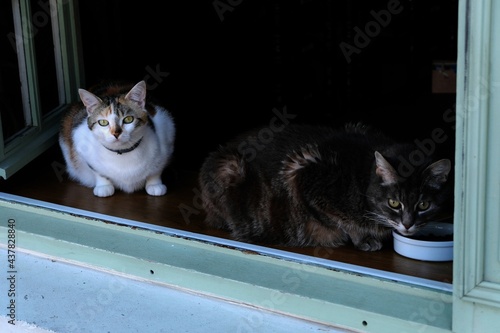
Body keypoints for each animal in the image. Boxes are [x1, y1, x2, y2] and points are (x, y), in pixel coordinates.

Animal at [199, 123, 454, 250]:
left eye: (424, 204)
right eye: (394, 203)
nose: (408, 224)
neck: (361, 177)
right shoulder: (304, 176)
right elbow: (344, 221)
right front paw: (362, 239)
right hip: (230, 166)